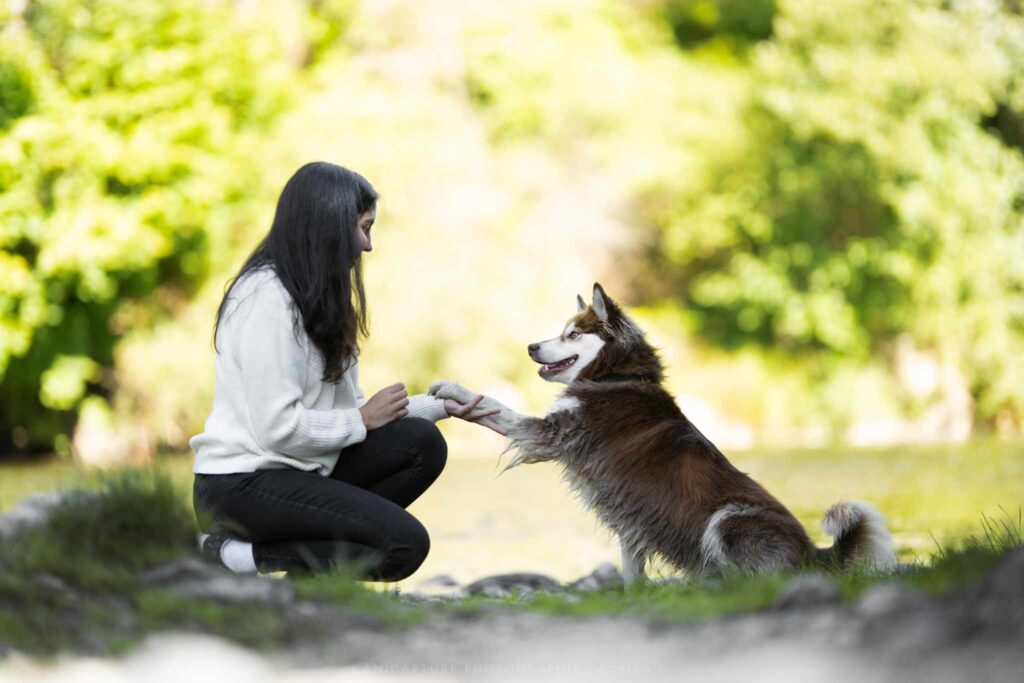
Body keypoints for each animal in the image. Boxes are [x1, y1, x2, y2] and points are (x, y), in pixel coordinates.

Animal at [430, 282, 897, 581]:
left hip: (728, 518)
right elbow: (631, 573)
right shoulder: (631, 519)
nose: (530, 347)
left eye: (573, 334)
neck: (615, 376)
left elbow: (492, 407)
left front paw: (453, 392)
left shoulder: (548, 434)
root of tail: (816, 555)